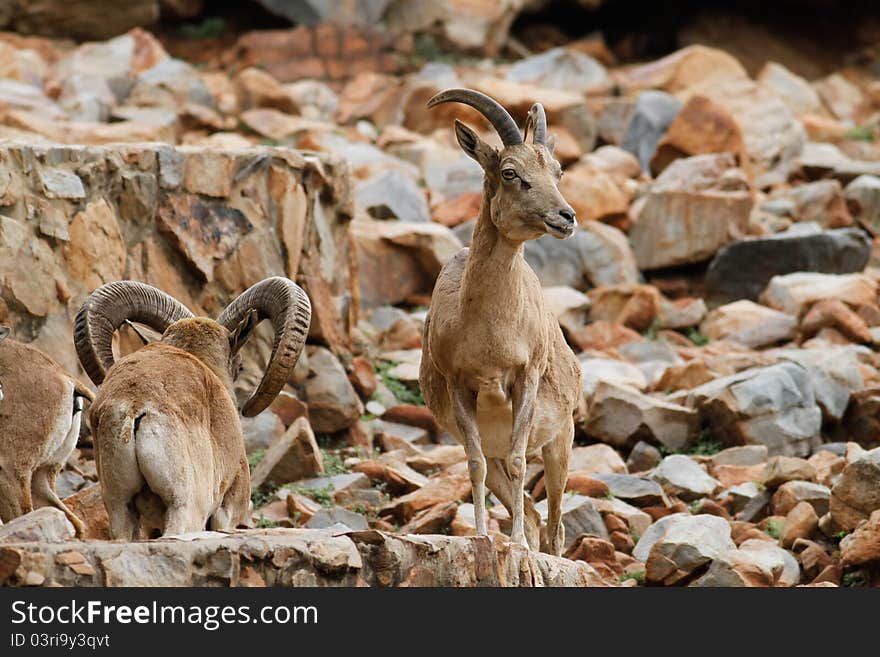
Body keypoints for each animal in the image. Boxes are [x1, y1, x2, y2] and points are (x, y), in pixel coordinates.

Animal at [422, 91, 584, 552]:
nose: (565, 217)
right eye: (510, 172)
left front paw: (518, 549)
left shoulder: (525, 376)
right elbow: (473, 464)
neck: (489, 332)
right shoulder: (459, 385)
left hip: (561, 439)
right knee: (529, 511)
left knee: (555, 524)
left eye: (558, 170)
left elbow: (518, 460)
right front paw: (481, 536)